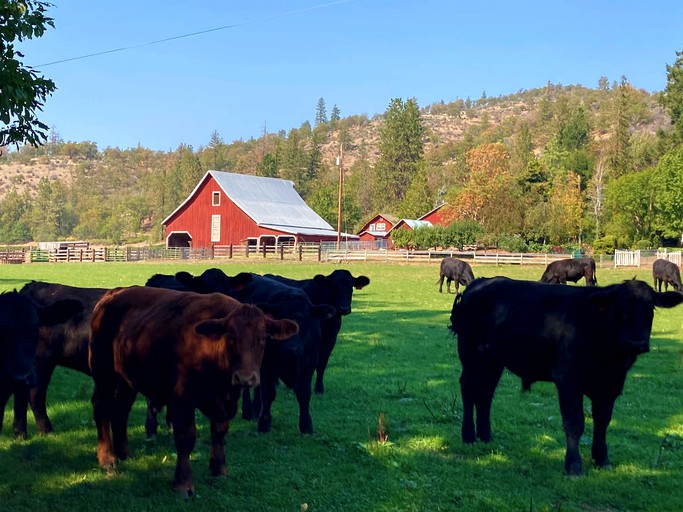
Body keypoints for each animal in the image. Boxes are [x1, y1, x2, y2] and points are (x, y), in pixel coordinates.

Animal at [89, 284, 300, 496]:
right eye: (231, 337)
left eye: (263, 338)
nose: (246, 377)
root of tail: (114, 292)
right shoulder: (182, 398)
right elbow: (186, 437)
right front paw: (183, 484)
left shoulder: (224, 403)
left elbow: (219, 433)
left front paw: (219, 470)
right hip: (103, 373)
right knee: (103, 409)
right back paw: (107, 458)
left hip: (126, 379)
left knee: (121, 412)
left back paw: (124, 453)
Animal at [448, 278, 683, 474]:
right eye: (620, 310)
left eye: (650, 310)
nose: (637, 343)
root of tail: (480, 282)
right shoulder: (568, 381)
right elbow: (574, 423)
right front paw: (574, 465)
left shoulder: (610, 386)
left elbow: (603, 422)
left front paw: (602, 459)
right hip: (472, 355)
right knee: (468, 390)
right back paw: (469, 436)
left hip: (494, 361)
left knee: (485, 393)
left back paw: (485, 436)